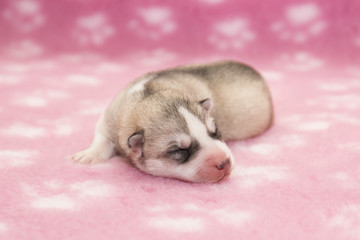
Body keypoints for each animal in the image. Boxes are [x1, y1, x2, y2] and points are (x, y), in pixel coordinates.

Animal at [73, 61, 272, 183]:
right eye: (180, 150)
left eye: (215, 132)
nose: (224, 162)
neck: (149, 94)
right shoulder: (110, 118)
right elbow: (101, 136)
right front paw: (89, 154)